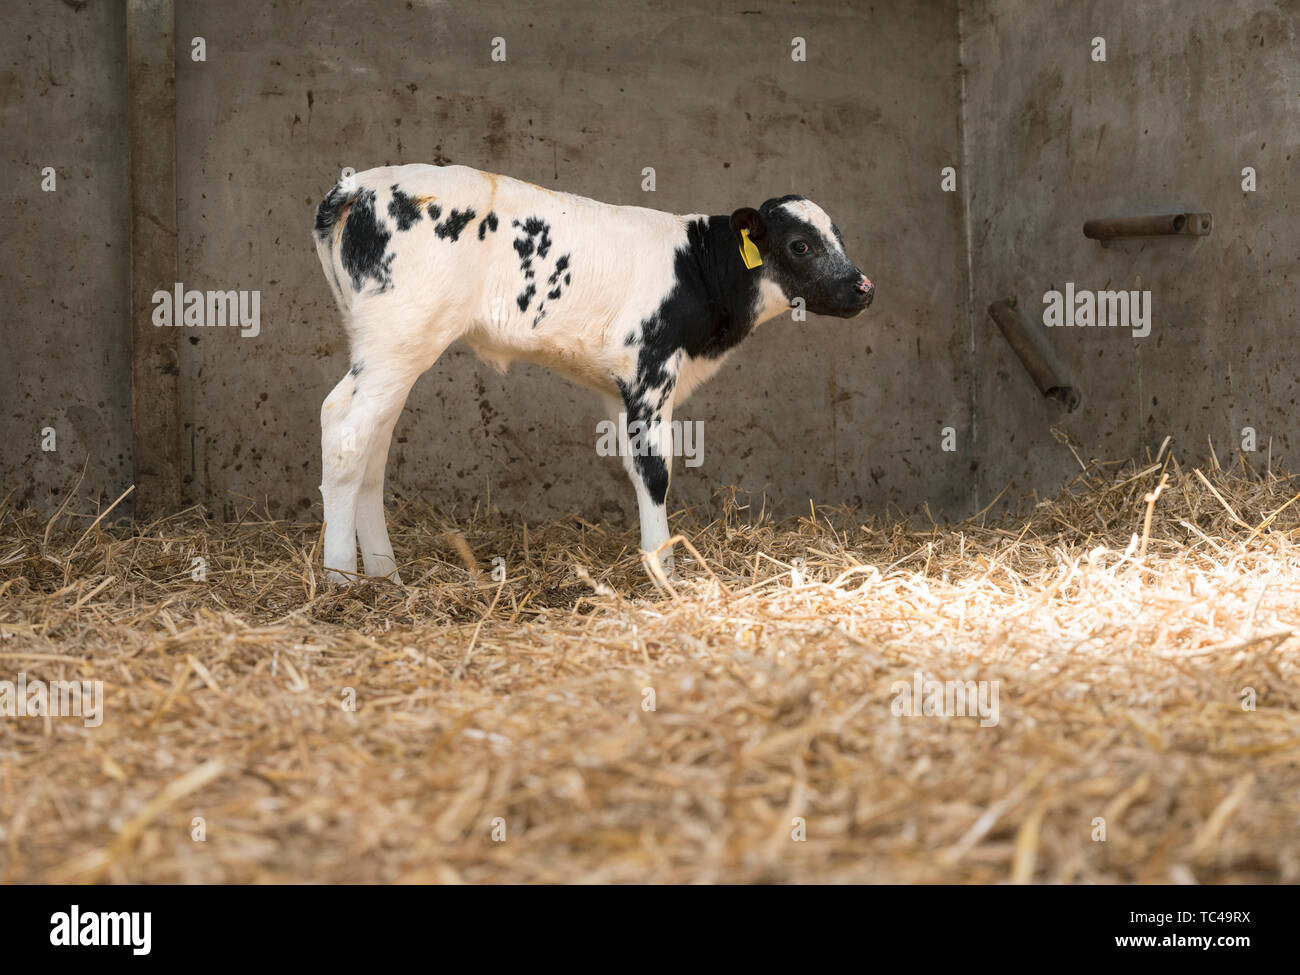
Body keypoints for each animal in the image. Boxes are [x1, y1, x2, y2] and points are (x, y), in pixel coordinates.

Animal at [313, 164, 874, 585]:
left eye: (839, 238)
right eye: (800, 244)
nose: (864, 287)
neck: (697, 267)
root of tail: (358, 184)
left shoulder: (618, 387)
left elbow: (632, 465)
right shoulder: (651, 369)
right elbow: (655, 470)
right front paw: (665, 571)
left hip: (385, 346)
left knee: (373, 444)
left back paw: (384, 575)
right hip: (400, 336)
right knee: (345, 430)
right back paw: (341, 580)